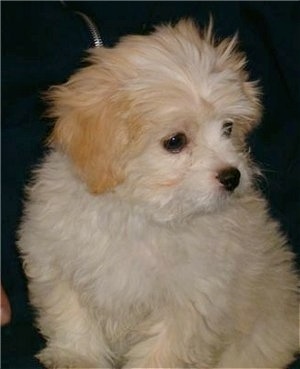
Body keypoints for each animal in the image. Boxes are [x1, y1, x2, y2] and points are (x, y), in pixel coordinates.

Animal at [18, 20, 298, 368]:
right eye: (175, 141)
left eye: (228, 128)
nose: (232, 176)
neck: (142, 213)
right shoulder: (56, 259)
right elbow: (71, 314)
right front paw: (76, 356)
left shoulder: (192, 297)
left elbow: (165, 346)